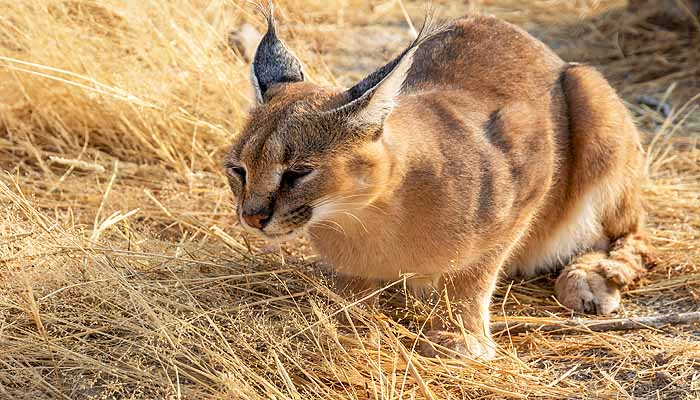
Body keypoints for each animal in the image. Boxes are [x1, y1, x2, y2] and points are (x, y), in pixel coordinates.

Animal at [224, 6, 656, 358]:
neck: (364, 215)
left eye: (298, 173)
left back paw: (589, 280)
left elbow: (476, 272)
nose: (251, 216)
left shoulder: (530, 161)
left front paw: (461, 336)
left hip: (592, 98)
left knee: (632, 235)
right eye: (238, 170)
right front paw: (346, 320)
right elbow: (352, 285)